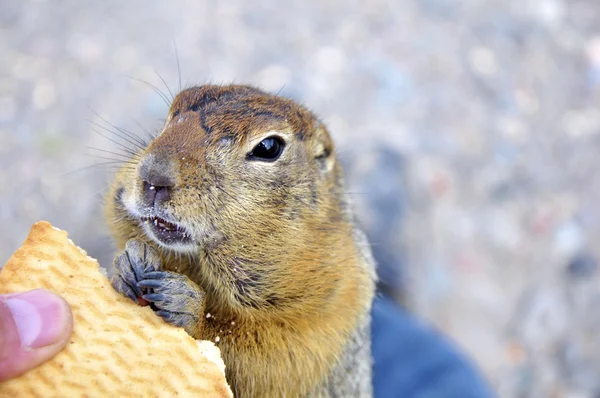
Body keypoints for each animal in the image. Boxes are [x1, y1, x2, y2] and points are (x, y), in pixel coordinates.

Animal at [103, 84, 376, 398]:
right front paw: (129, 263)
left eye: (269, 147)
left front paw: (186, 304)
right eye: (172, 113)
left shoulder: (335, 308)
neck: (199, 266)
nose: (153, 175)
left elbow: (268, 363)